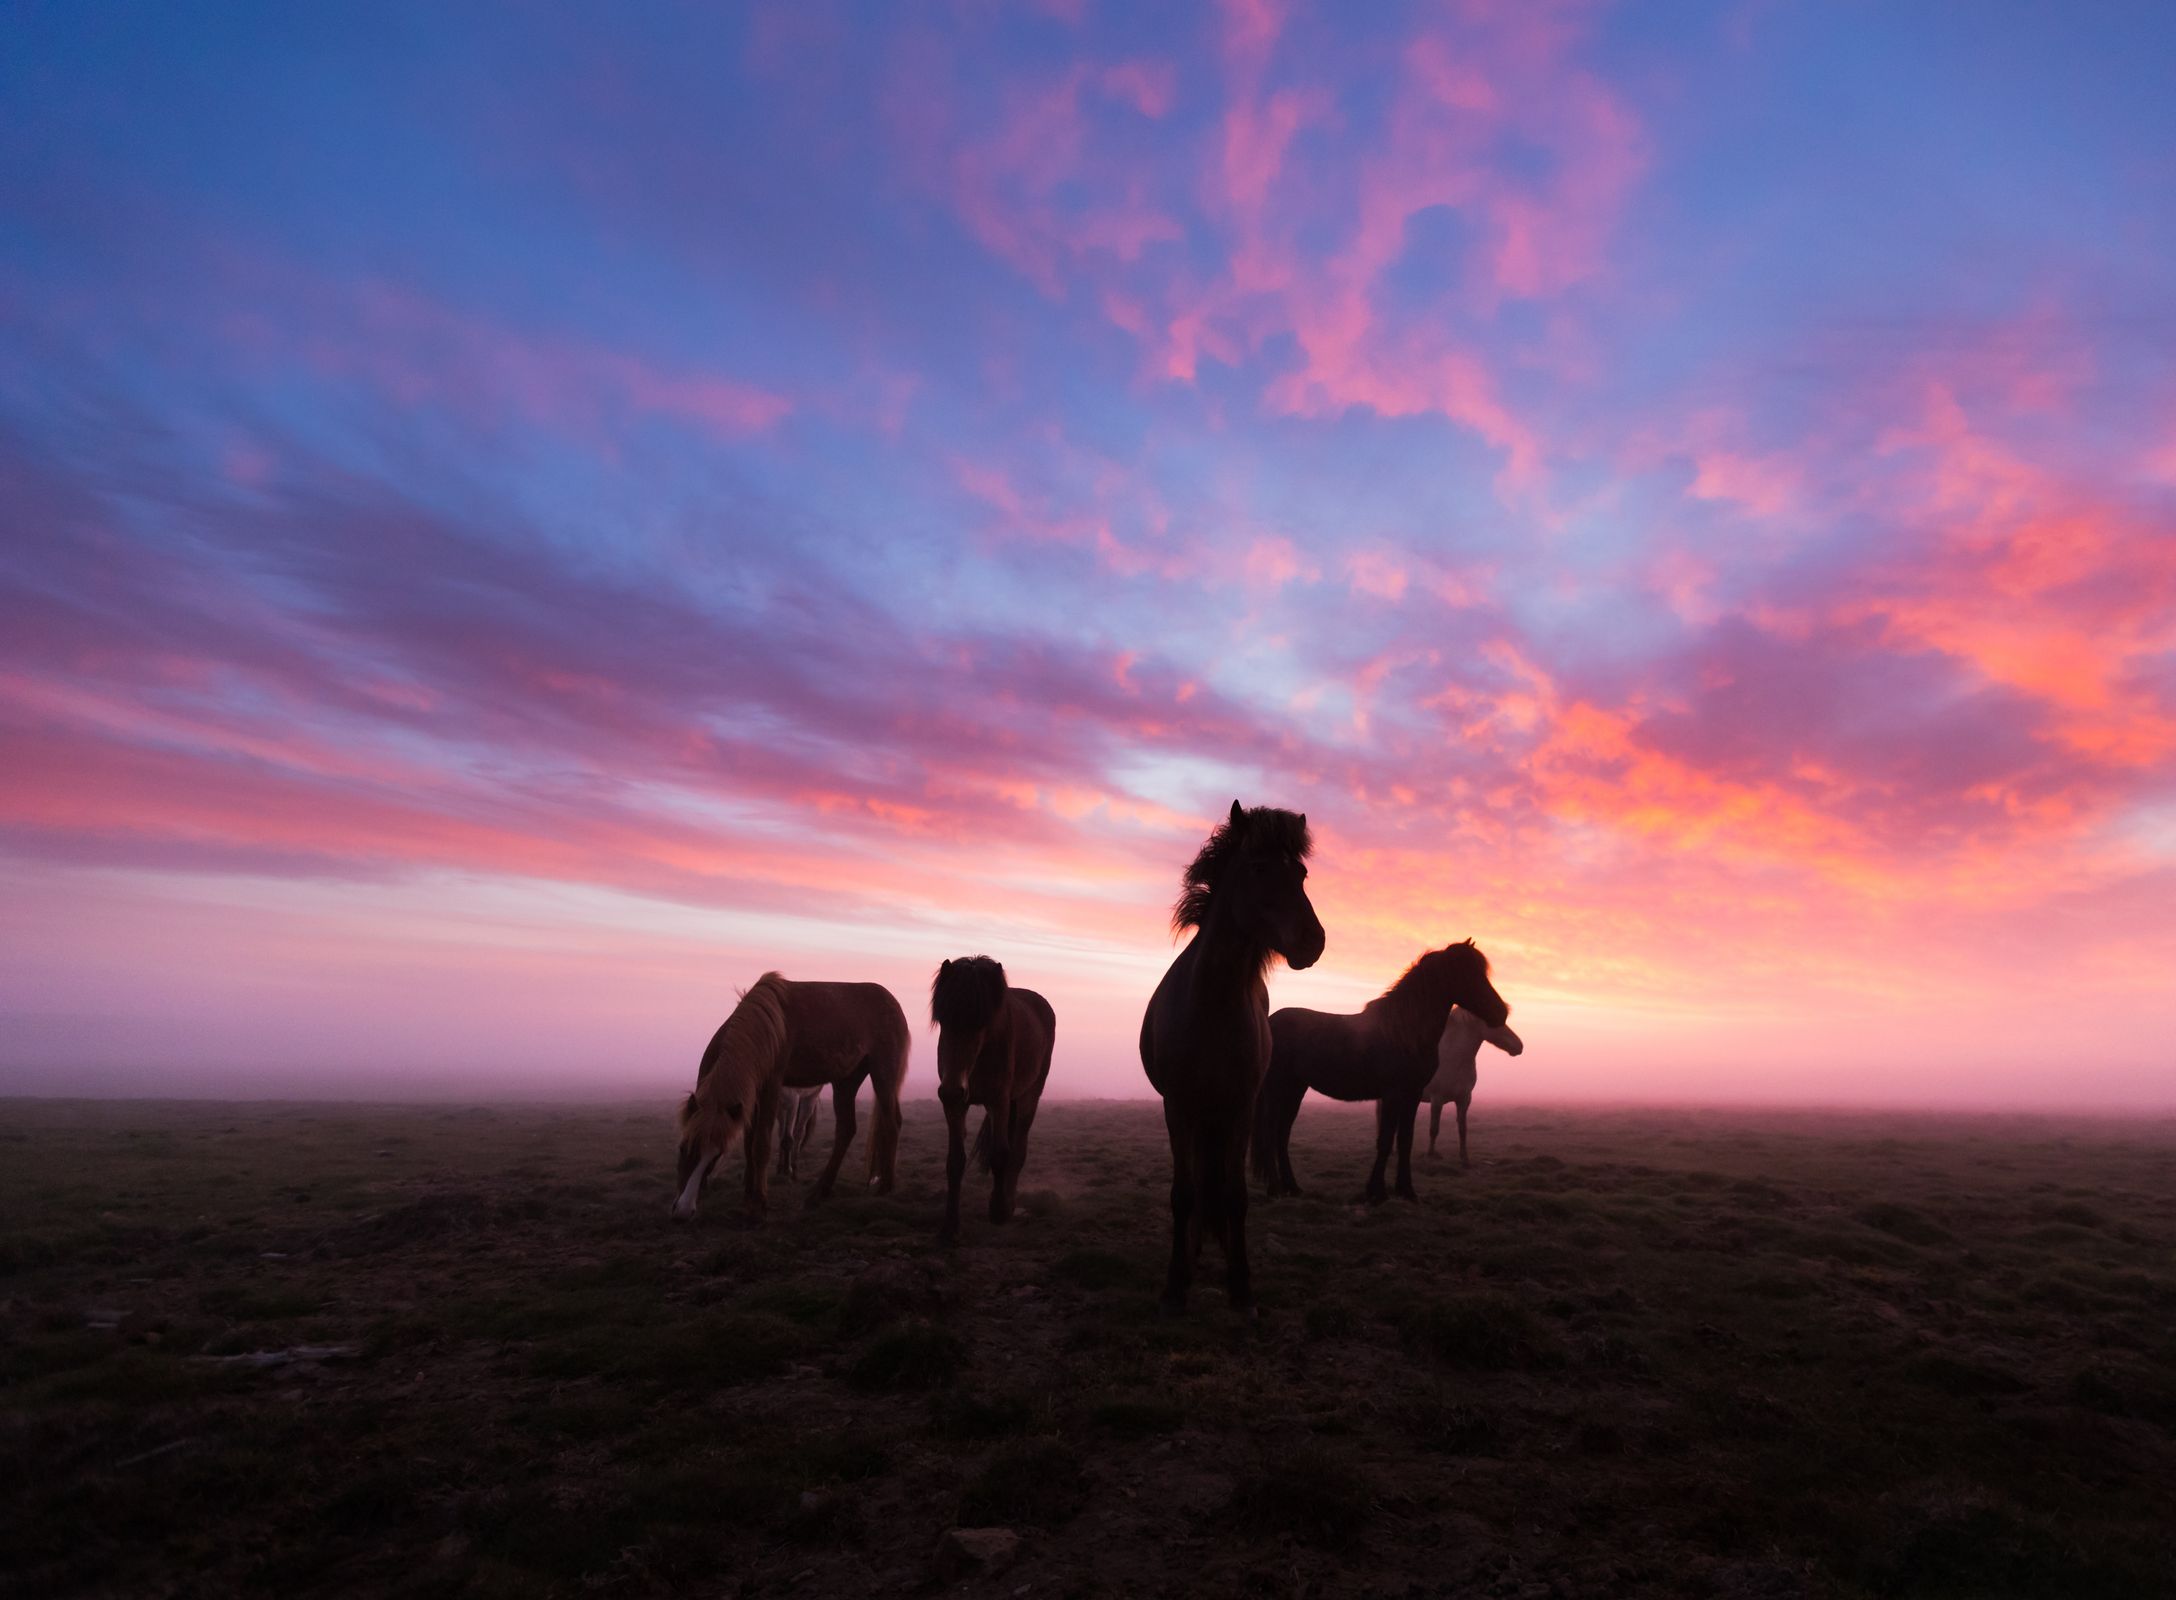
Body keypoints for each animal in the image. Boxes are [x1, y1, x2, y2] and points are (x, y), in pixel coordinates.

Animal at [672, 973, 909, 1221]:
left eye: (717, 1155)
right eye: (683, 1147)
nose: (683, 1210)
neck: (761, 1029)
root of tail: (892, 1002)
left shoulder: (771, 1089)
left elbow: (761, 1145)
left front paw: (758, 1204)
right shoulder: (749, 1099)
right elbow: (748, 1144)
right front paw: (747, 1194)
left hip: (883, 1074)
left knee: (891, 1123)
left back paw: (885, 1188)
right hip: (846, 1082)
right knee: (846, 1129)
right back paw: (820, 1192)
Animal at [930, 956, 1057, 1245]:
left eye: (981, 1022)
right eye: (943, 1019)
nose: (952, 1089)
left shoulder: (999, 1101)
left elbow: (1001, 1155)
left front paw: (998, 1211)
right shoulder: (954, 1104)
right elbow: (955, 1161)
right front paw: (950, 1227)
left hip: (1028, 1097)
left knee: (1018, 1148)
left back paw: (1008, 1204)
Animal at [1140, 801, 1324, 1314]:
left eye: (1301, 873)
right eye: (1258, 868)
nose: (1313, 941)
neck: (1212, 1005)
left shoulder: (1241, 1108)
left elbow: (1236, 1195)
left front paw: (1241, 1287)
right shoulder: (1178, 1107)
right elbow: (1183, 1194)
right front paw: (1175, 1284)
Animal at [1251, 940, 1509, 1204]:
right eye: (1468, 973)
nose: (1501, 1012)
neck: (1403, 1032)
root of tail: (1270, 1024)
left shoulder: (1412, 1095)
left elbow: (1405, 1141)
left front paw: (1407, 1191)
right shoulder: (1392, 1095)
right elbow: (1385, 1141)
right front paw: (1377, 1192)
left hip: (1295, 1089)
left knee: (1282, 1134)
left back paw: (1292, 1187)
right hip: (1276, 1090)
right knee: (1270, 1134)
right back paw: (1275, 1189)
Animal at [1421, 1005, 1523, 1166]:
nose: (1519, 1045)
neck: (1451, 1059)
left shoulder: (1464, 1099)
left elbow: (1463, 1129)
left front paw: (1465, 1159)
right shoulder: (1437, 1099)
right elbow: (1434, 1129)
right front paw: (1430, 1155)